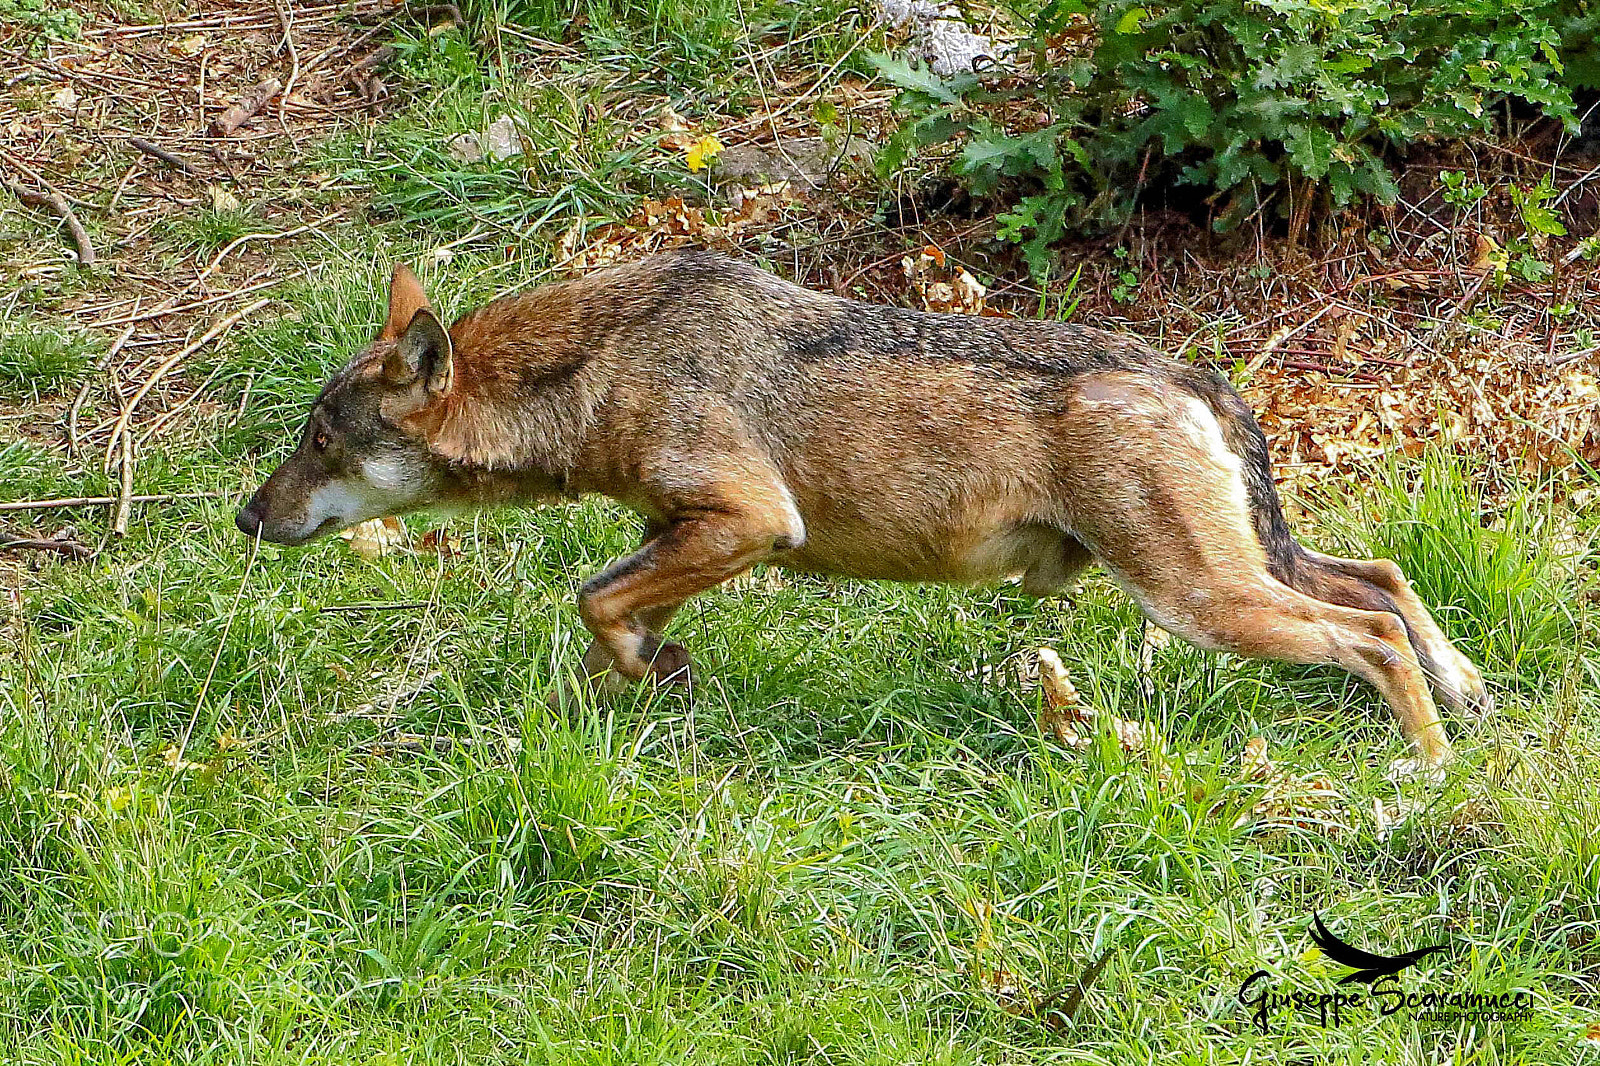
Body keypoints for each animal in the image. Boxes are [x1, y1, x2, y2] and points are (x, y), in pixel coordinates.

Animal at [237, 251, 1489, 772]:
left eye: (318, 442)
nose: (248, 518)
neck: (600, 365)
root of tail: (1184, 368)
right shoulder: (679, 531)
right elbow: (605, 623)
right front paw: (621, 694)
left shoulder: (748, 524)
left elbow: (589, 599)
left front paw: (648, 671)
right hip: (1236, 574)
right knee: (1382, 578)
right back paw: (1465, 695)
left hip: (1197, 600)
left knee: (1367, 630)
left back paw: (1421, 775)